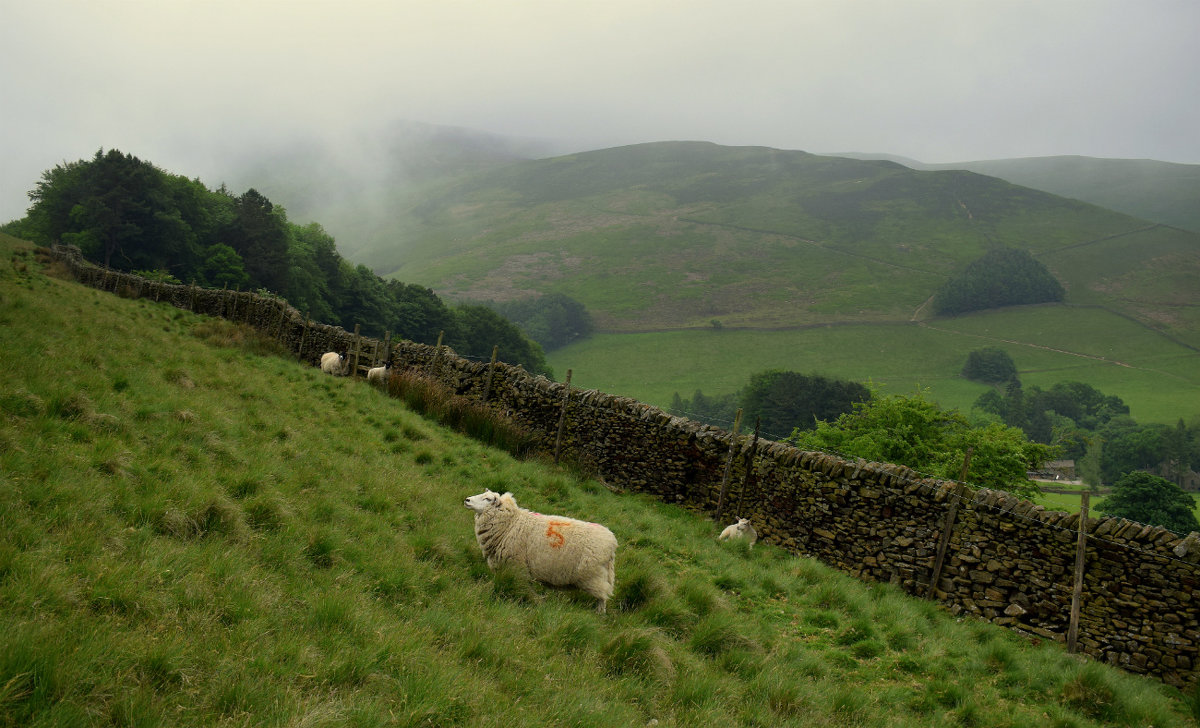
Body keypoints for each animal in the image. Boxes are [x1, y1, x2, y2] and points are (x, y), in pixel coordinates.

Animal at [463, 489, 619, 614]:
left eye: (488, 499)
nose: (467, 500)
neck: (511, 523)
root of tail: (612, 541)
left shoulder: (517, 565)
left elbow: (524, 586)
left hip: (593, 576)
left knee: (602, 598)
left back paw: (599, 614)